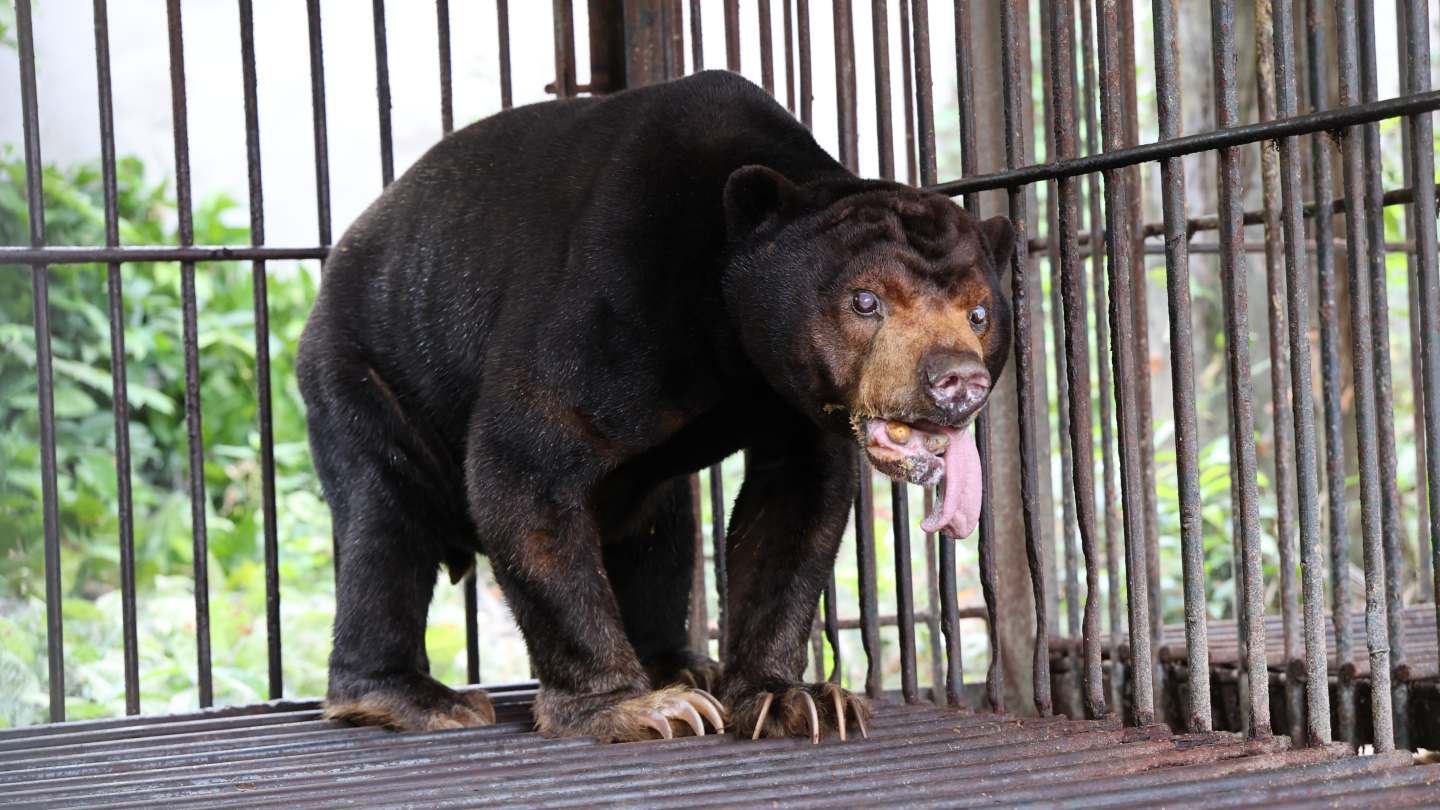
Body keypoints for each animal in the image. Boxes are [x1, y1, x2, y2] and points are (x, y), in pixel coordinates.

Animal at [296, 69, 1013, 743]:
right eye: (866, 301)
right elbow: (523, 465)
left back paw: (680, 663)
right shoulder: (608, 301)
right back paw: (415, 698)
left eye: (980, 314)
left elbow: (793, 509)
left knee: (660, 532)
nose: (956, 381)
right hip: (357, 374)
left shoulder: (798, 401)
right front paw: (634, 708)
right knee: (387, 519)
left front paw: (794, 699)